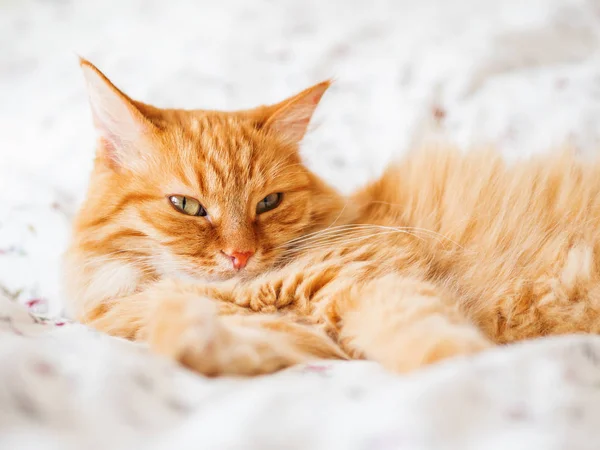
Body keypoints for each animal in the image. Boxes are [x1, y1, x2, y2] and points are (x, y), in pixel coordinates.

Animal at [62, 59, 600, 376]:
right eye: (188, 206)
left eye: (268, 203)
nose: (240, 256)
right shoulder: (305, 339)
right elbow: (199, 343)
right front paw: (181, 328)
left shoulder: (373, 282)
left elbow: (432, 345)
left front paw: (468, 375)